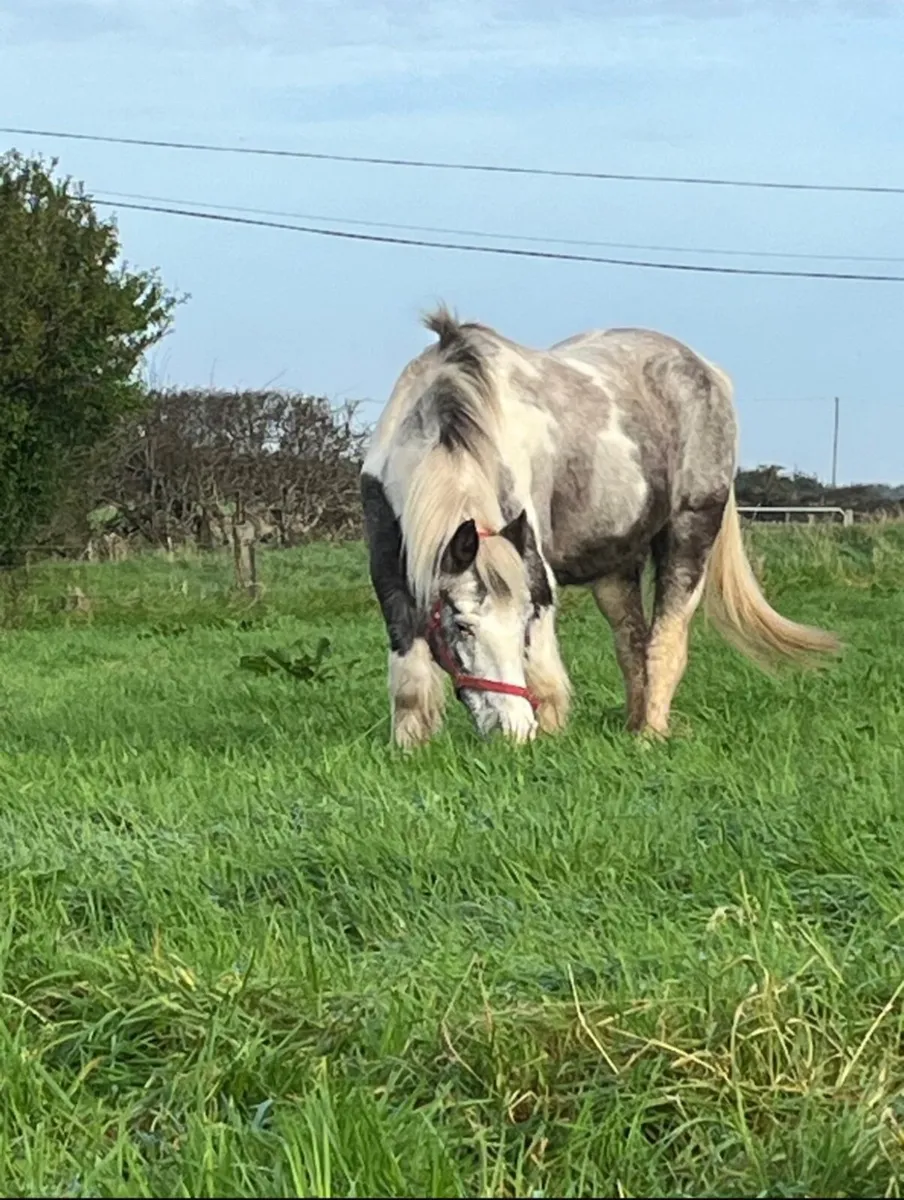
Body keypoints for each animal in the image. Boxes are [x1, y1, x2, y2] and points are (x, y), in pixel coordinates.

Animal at [360, 307, 839, 748]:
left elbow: (543, 669)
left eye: (523, 619)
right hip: (615, 565)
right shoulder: (389, 566)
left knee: (665, 640)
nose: (515, 732)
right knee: (631, 644)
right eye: (462, 626)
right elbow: (408, 672)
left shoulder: (533, 568)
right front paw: (409, 747)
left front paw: (551, 734)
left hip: (691, 532)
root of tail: (708, 372)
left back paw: (650, 736)